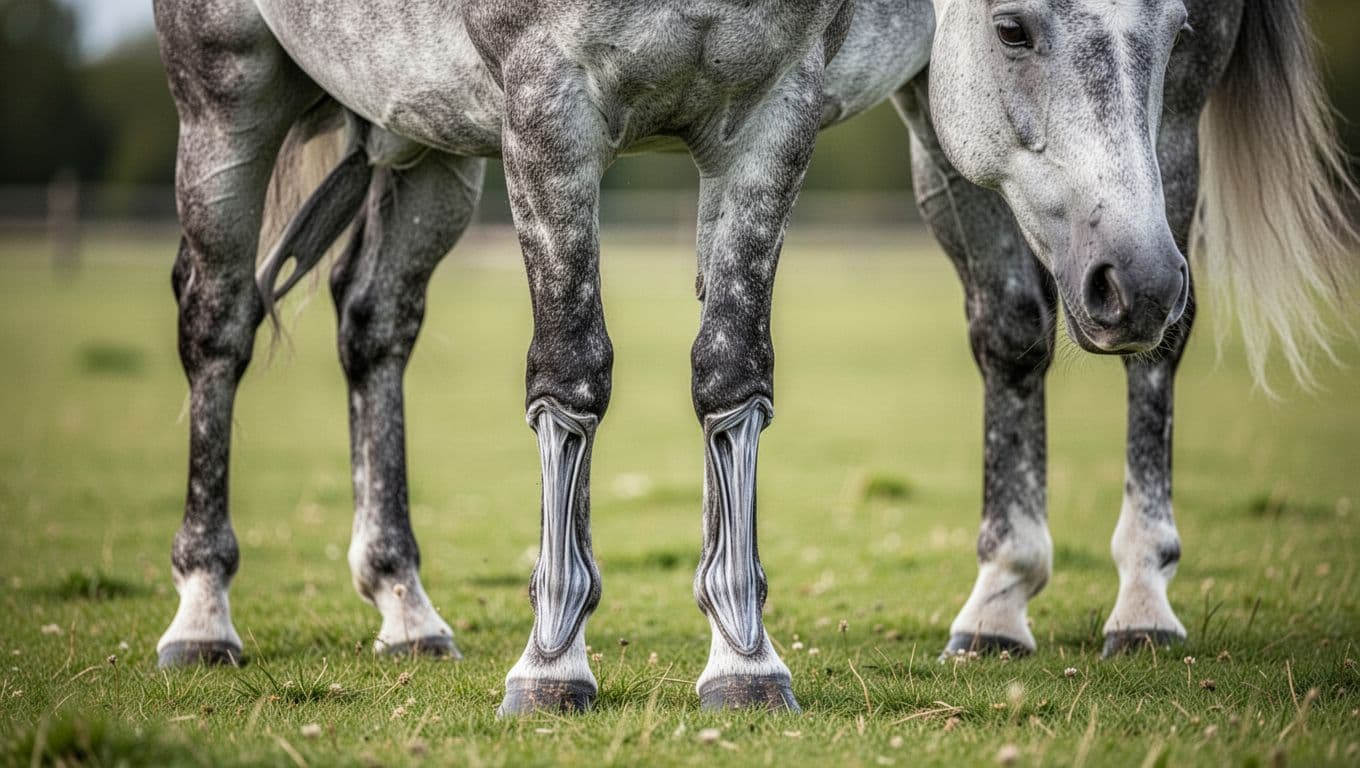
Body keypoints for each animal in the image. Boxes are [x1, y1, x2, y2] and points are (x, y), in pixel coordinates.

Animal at [152, 0, 1357, 715]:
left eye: (1161, 17)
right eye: (1012, 26)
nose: (1133, 284)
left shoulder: (771, 112)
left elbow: (731, 370)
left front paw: (741, 658)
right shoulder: (547, 104)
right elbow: (572, 370)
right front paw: (555, 663)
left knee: (373, 320)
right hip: (237, 89)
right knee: (226, 324)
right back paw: (208, 618)